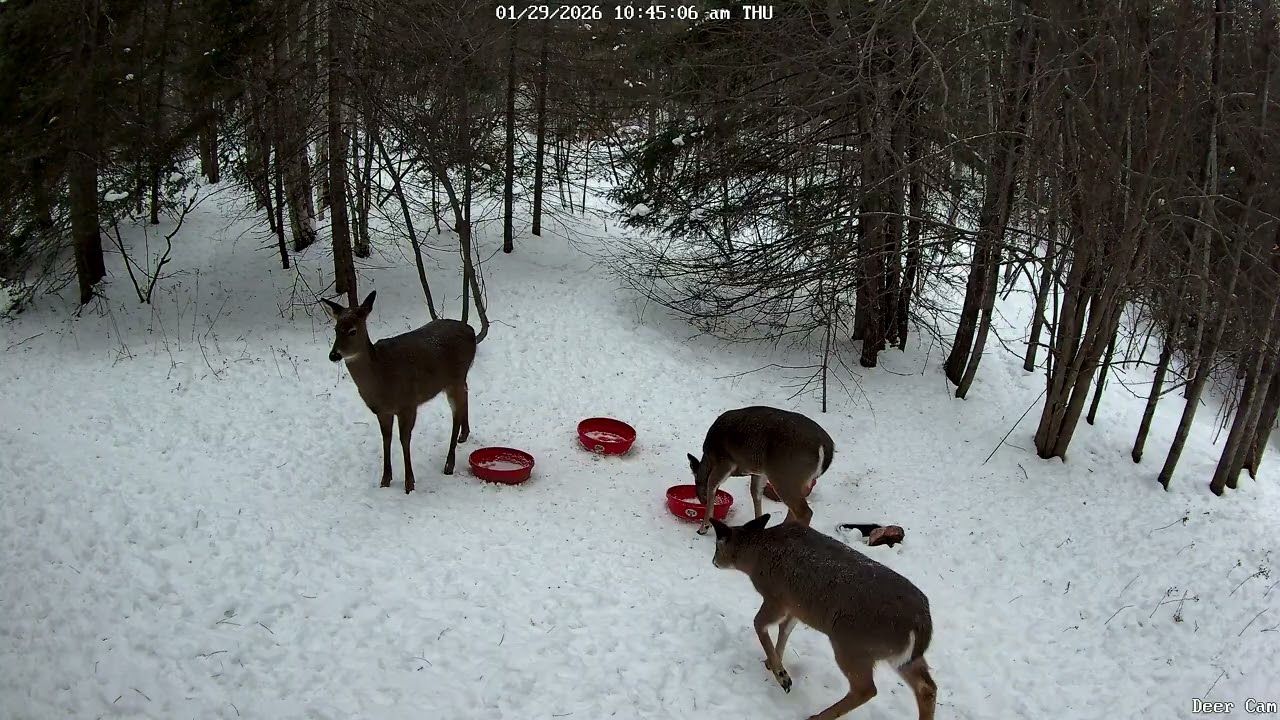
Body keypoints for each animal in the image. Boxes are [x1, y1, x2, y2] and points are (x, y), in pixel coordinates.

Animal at [321, 291, 477, 494]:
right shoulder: (382, 411)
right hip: (458, 380)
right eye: (336, 329)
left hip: (454, 379)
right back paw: (464, 435)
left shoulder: (407, 404)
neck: (382, 378)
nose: (334, 355)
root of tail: (471, 330)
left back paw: (449, 464)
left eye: (352, 331)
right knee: (466, 395)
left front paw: (409, 483)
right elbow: (386, 438)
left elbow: (404, 439)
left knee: (455, 415)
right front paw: (385, 479)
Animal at [687, 406, 834, 535]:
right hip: (795, 479)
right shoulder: (759, 472)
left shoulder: (724, 461)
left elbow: (712, 485)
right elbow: (755, 493)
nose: (702, 501)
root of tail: (825, 447)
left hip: (785, 475)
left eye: (696, 482)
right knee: (794, 508)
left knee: (805, 511)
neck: (709, 458)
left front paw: (703, 527)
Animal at [708, 514, 937, 720]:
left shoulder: (776, 596)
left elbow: (759, 624)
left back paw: (816, 716)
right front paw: (772, 663)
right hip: (901, 658)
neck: (755, 556)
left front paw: (782, 676)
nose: (713, 561)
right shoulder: (796, 606)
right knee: (927, 687)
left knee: (866, 689)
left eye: (717, 547)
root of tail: (921, 626)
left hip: (851, 644)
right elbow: (785, 629)